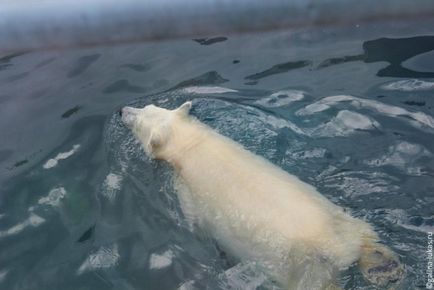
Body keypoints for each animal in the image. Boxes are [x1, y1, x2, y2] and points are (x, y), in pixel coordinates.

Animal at [119, 102, 404, 290]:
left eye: (138, 120)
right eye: (146, 106)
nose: (122, 110)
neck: (192, 145)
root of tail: (337, 250)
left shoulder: (186, 189)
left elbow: (192, 222)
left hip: (301, 265)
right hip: (340, 219)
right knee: (367, 238)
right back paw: (386, 269)